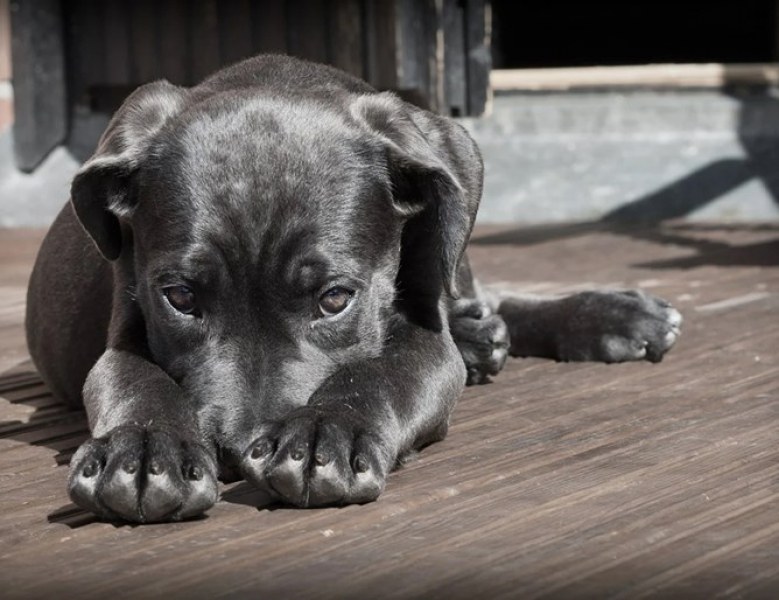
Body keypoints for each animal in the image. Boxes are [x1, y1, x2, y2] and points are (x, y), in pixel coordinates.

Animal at [24, 57, 684, 524]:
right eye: (181, 298)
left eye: (335, 299)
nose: (237, 452)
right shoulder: (125, 326)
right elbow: (133, 379)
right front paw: (142, 450)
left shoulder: (424, 337)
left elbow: (380, 372)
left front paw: (325, 432)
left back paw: (608, 316)